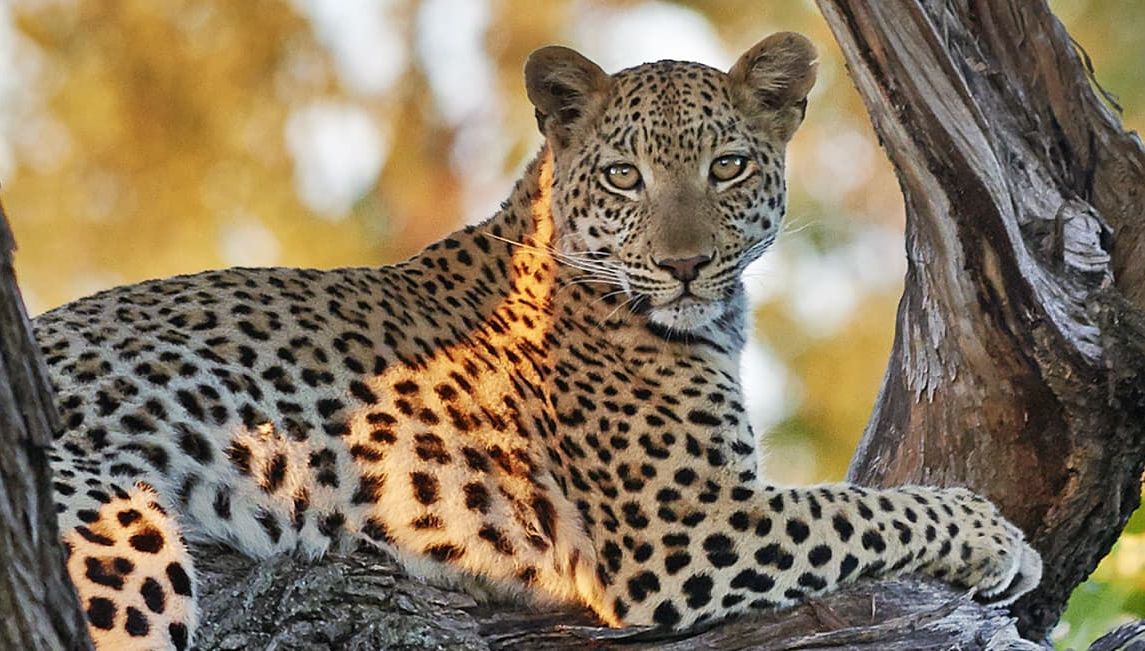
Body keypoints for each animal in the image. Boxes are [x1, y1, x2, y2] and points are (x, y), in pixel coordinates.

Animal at [33, 33, 1039, 645]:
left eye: (727, 167)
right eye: (626, 177)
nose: (682, 265)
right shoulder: (686, 526)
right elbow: (864, 508)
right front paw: (995, 537)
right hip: (113, 525)